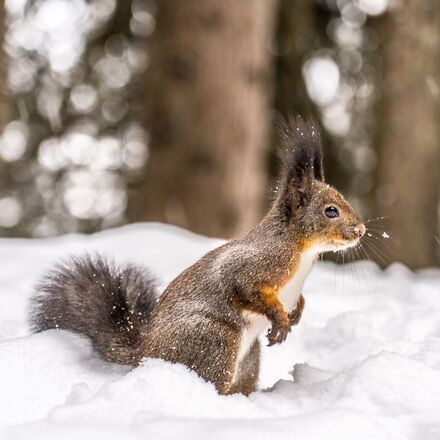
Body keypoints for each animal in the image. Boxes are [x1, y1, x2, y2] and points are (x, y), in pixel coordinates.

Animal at [30, 116, 364, 396]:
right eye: (330, 211)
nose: (361, 230)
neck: (303, 252)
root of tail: (146, 354)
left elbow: (300, 299)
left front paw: (296, 312)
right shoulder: (257, 264)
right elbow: (246, 288)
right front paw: (281, 319)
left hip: (249, 357)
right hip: (214, 339)